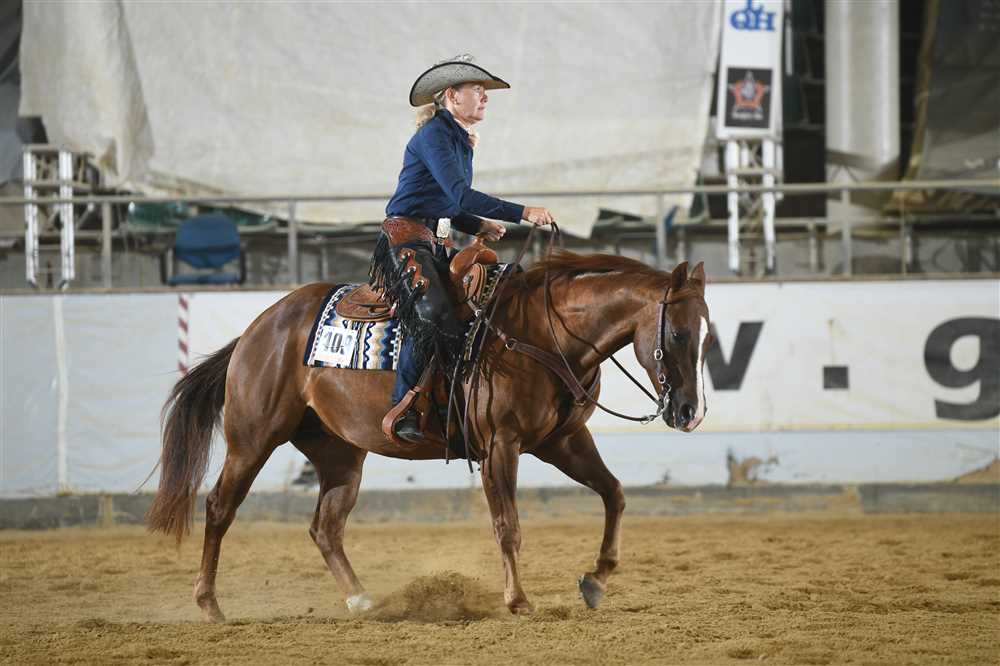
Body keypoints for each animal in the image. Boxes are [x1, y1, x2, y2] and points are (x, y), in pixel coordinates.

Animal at [147, 250, 712, 620]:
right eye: (678, 332)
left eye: (706, 336)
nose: (689, 411)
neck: (541, 334)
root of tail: (257, 328)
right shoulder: (501, 444)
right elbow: (508, 525)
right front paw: (518, 600)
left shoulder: (563, 441)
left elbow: (614, 494)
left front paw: (596, 580)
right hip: (253, 437)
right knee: (220, 508)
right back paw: (209, 605)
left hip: (339, 453)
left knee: (326, 526)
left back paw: (362, 600)